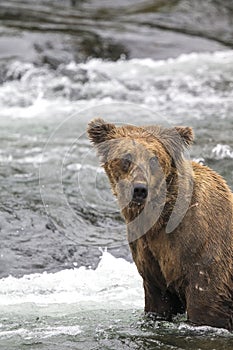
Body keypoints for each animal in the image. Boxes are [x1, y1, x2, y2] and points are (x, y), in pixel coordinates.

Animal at [87, 118, 233, 330]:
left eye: (154, 159)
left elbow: (206, 306)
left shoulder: (204, 256)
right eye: (126, 158)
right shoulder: (152, 262)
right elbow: (158, 302)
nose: (139, 189)